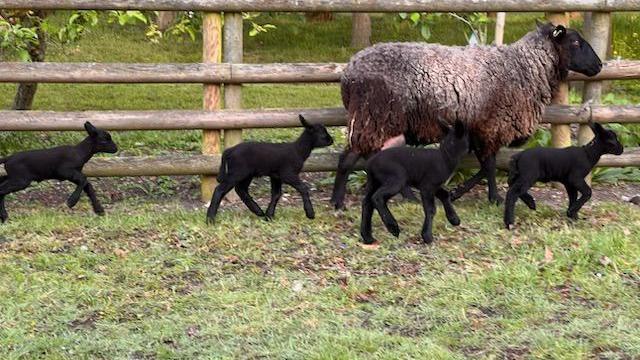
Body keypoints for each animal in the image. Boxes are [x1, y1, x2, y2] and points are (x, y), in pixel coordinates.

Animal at [206, 114, 336, 222]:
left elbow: (276, 194)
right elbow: (303, 188)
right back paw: (210, 219)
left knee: (241, 190)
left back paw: (258, 211)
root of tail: (229, 150)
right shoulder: (288, 174)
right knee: (220, 189)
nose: (331, 140)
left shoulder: (276, 176)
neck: (298, 150)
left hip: (247, 174)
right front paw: (310, 213)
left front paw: (269, 216)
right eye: (322, 134)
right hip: (238, 172)